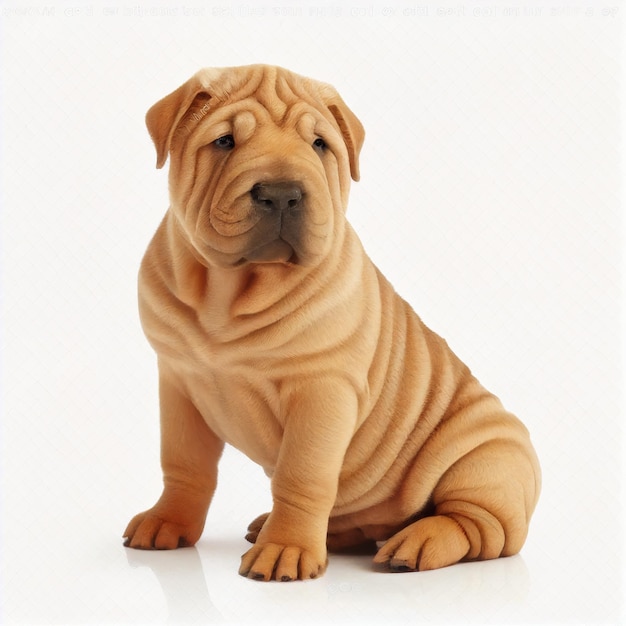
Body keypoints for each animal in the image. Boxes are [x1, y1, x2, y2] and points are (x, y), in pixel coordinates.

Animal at [124, 64, 540, 580]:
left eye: (320, 145)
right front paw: (167, 521)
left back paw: (416, 542)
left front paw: (286, 549)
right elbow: (183, 463)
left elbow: (301, 475)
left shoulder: (321, 389)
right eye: (224, 141)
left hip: (487, 457)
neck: (229, 293)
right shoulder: (179, 382)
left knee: (480, 528)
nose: (281, 194)